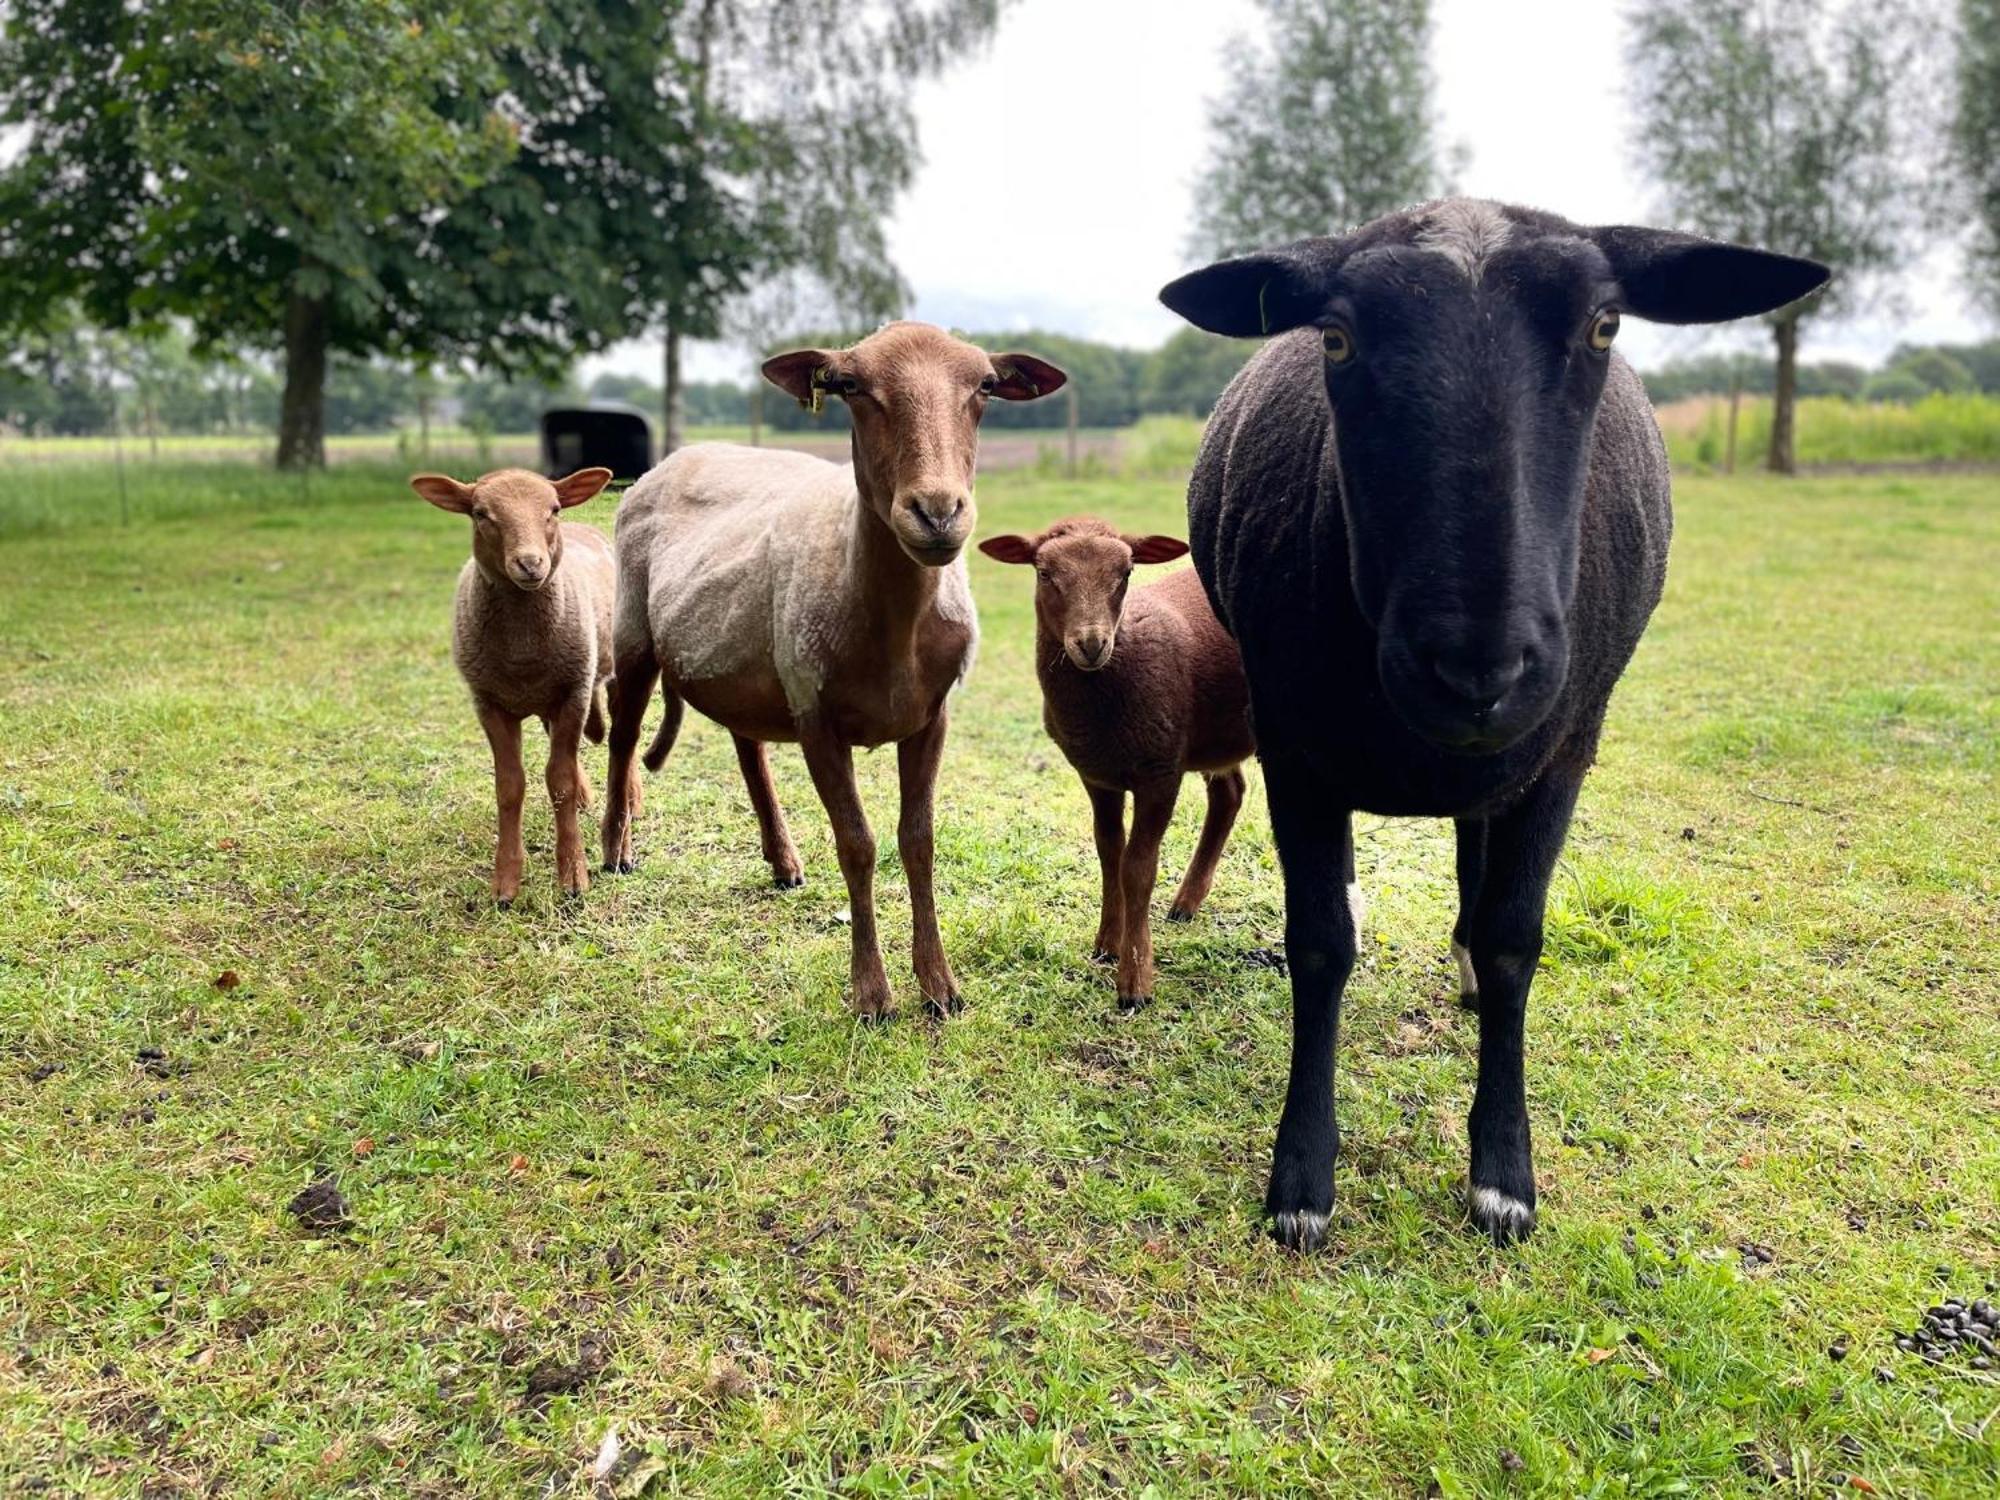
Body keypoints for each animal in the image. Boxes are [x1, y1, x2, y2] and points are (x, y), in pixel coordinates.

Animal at [410, 464, 612, 904]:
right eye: (480, 514)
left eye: (553, 509)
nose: (531, 563)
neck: (523, 652)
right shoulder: (490, 703)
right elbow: (510, 786)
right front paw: (505, 883)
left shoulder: (574, 693)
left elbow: (559, 782)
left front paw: (573, 876)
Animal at [976, 520, 1256, 1024]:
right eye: (1044, 573)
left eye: (1126, 572)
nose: (1090, 644)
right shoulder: (1097, 774)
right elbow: (1109, 852)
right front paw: (1107, 942)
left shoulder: (1159, 773)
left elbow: (1138, 868)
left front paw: (1135, 981)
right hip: (1215, 732)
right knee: (1229, 793)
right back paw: (1186, 903)